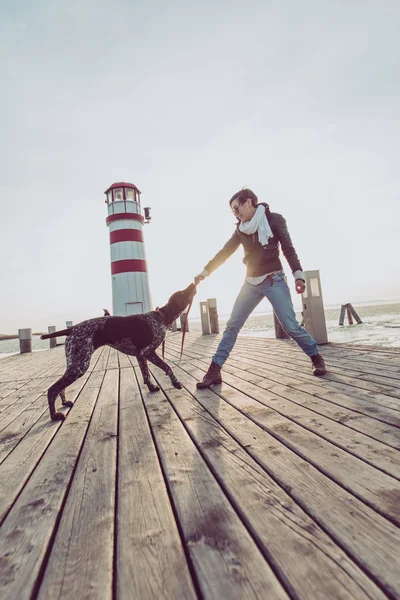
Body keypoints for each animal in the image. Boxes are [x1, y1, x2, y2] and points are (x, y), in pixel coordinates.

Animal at [41, 284, 196, 422]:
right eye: (182, 293)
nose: (192, 284)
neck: (161, 316)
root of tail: (71, 328)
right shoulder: (148, 352)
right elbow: (167, 367)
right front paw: (176, 382)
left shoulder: (141, 355)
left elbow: (146, 375)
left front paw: (151, 387)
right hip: (79, 366)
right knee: (52, 390)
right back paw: (54, 415)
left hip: (74, 363)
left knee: (60, 387)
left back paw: (64, 402)